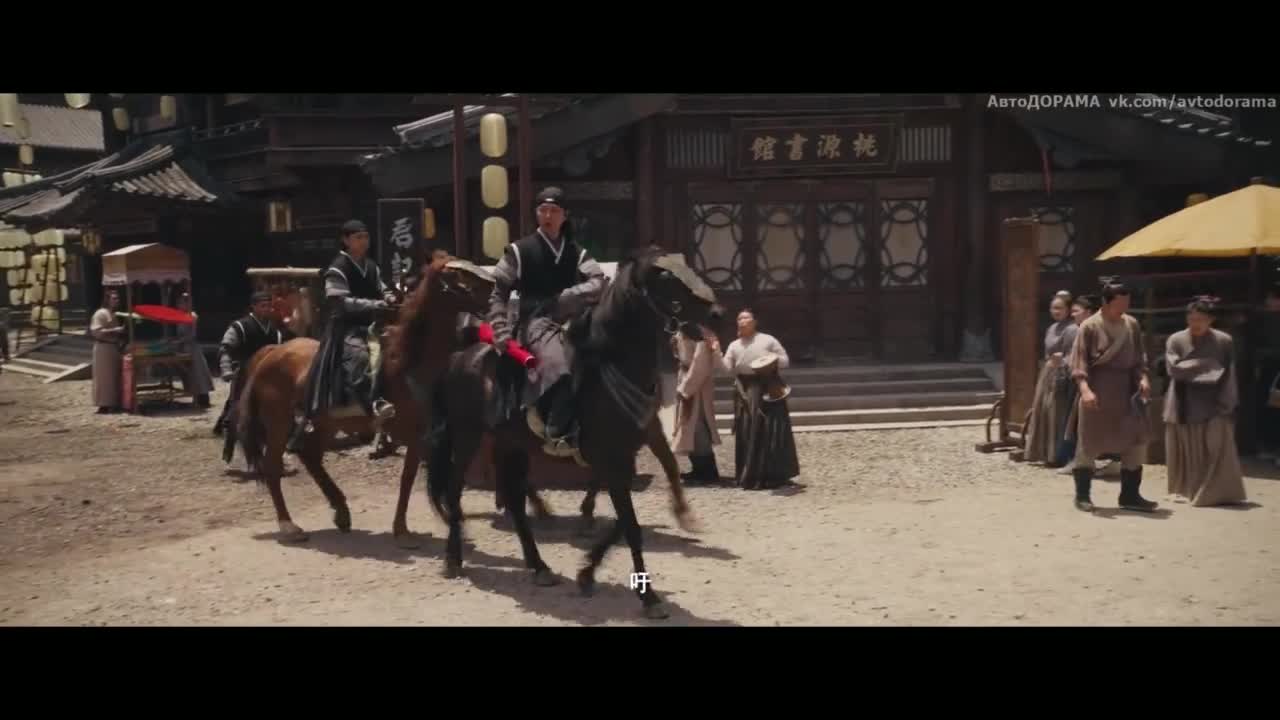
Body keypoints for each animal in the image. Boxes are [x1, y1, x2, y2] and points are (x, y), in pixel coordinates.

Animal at [232, 257, 492, 545]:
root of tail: (270, 352)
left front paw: (446, 521)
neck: (409, 362)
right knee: (273, 466)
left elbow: (426, 475)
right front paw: (404, 530)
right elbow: (410, 478)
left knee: (310, 456)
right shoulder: (415, 435)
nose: (492, 286)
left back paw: (341, 511)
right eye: (456, 275)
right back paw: (289, 526)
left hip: (324, 423)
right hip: (278, 422)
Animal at [428, 246, 723, 619]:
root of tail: (459, 357)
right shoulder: (612, 459)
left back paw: (539, 567)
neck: (615, 365)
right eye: (667, 277)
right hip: (467, 435)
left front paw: (587, 572)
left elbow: (626, 517)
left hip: (511, 443)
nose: (717, 313)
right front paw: (649, 597)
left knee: (514, 500)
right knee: (454, 490)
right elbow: (630, 526)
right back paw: (454, 558)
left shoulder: (631, 449)